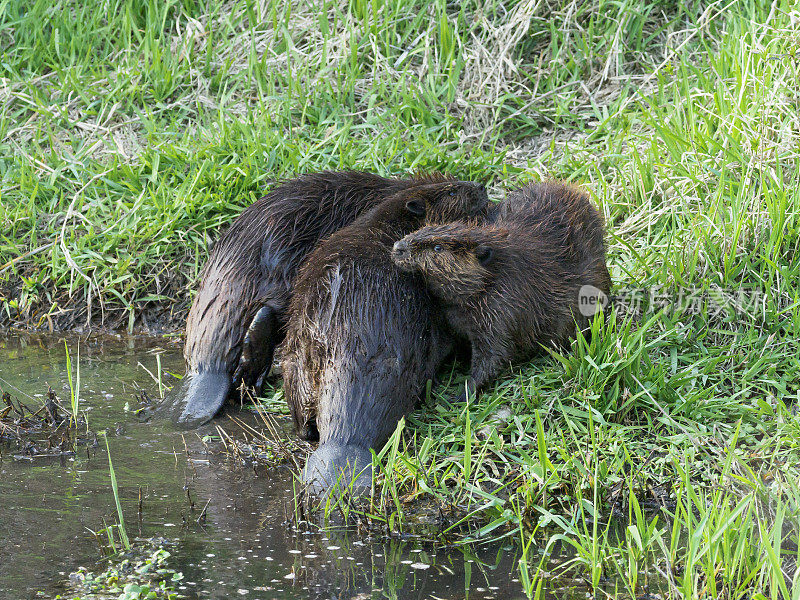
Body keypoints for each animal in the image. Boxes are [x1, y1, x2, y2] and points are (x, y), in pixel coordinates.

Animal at [390, 183, 608, 398]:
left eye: (437, 248)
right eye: (424, 228)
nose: (398, 247)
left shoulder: (503, 308)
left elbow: (495, 354)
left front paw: (460, 396)